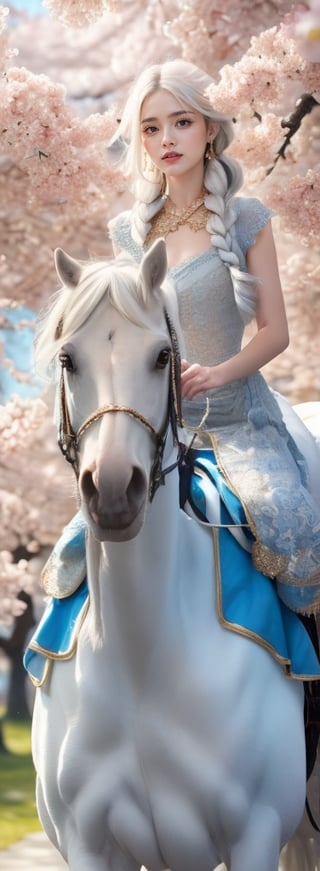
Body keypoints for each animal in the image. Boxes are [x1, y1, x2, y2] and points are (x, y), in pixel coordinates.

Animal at [29, 240, 320, 871]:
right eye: (68, 360)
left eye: (163, 356)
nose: (114, 492)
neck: (144, 656)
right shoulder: (90, 845)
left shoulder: (254, 836)